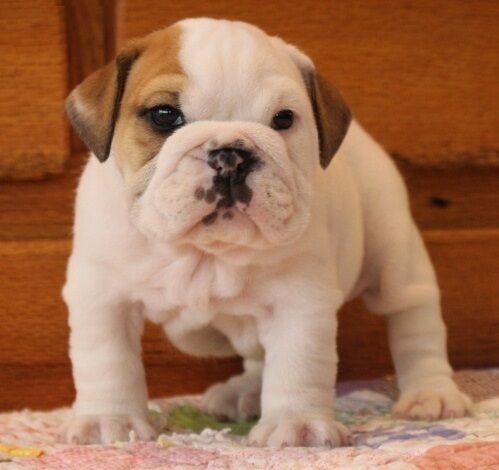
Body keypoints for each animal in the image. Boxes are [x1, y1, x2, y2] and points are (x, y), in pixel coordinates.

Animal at [60, 17, 470, 444]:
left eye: (284, 119)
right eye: (164, 115)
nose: (230, 154)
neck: (207, 251)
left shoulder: (300, 301)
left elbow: (296, 362)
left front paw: (297, 424)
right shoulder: (102, 297)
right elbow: (107, 360)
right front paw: (109, 420)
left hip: (392, 250)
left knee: (413, 317)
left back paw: (430, 393)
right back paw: (243, 392)